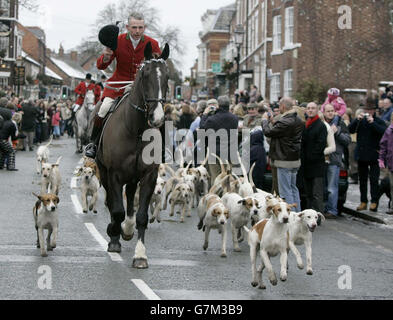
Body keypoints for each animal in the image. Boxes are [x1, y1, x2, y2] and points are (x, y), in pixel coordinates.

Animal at [96, 42, 168, 268]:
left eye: (167, 76)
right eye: (144, 74)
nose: (157, 117)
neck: (136, 130)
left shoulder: (149, 176)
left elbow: (142, 216)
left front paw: (140, 255)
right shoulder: (114, 174)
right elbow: (116, 209)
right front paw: (114, 237)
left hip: (133, 176)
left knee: (129, 198)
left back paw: (127, 229)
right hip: (104, 172)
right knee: (113, 202)